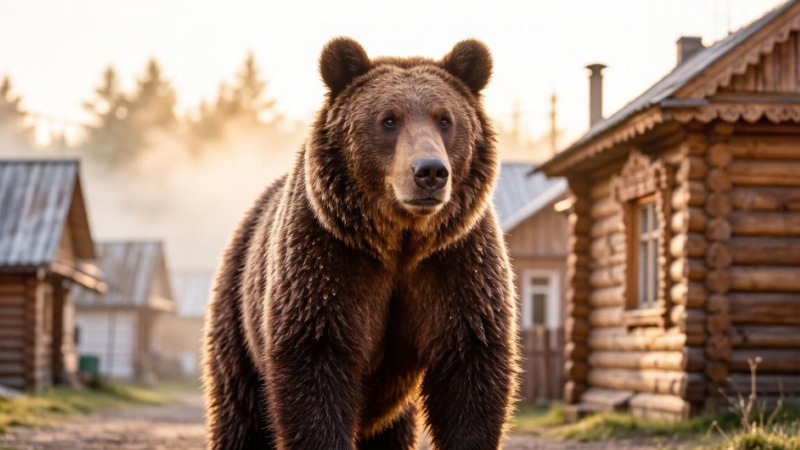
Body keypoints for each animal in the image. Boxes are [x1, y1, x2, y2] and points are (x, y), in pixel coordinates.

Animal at [203, 37, 519, 450]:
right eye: (389, 119)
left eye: (445, 119)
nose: (430, 171)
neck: (399, 242)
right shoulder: (328, 260)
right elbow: (316, 364)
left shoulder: (456, 263)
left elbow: (469, 367)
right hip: (237, 317)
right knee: (240, 412)